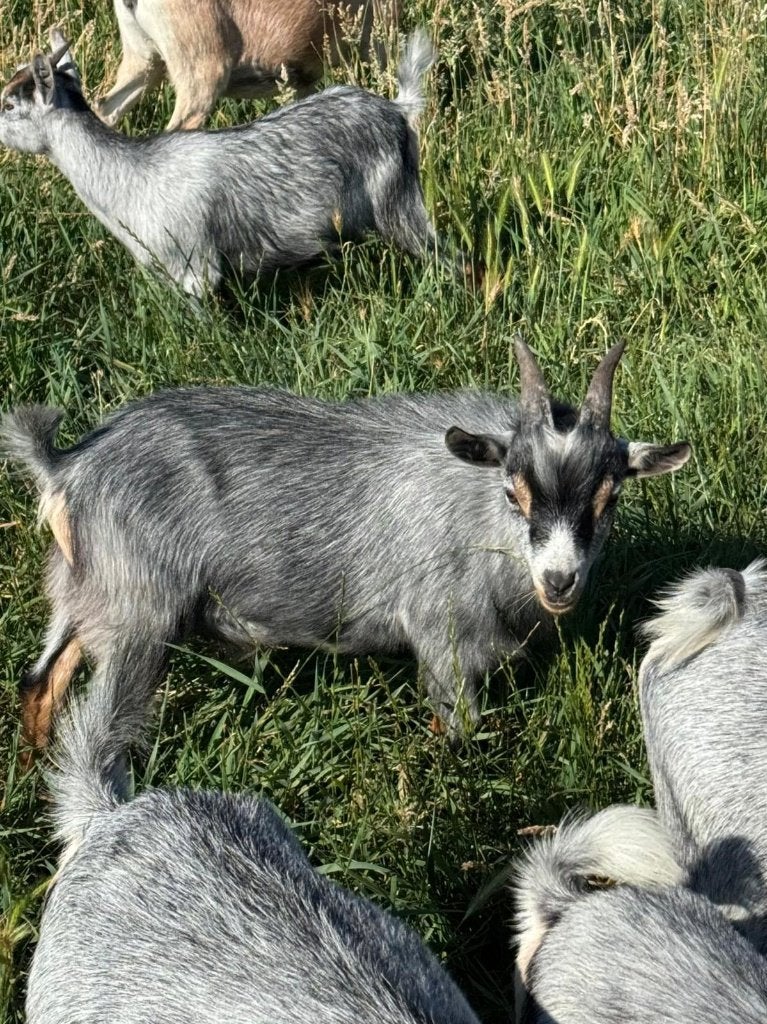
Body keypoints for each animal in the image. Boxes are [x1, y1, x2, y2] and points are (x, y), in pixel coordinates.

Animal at [1, 338, 691, 750]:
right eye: (512, 491)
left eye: (610, 499)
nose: (559, 580)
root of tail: (68, 467)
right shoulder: (443, 639)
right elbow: (460, 730)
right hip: (137, 615)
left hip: (83, 594)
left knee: (40, 685)